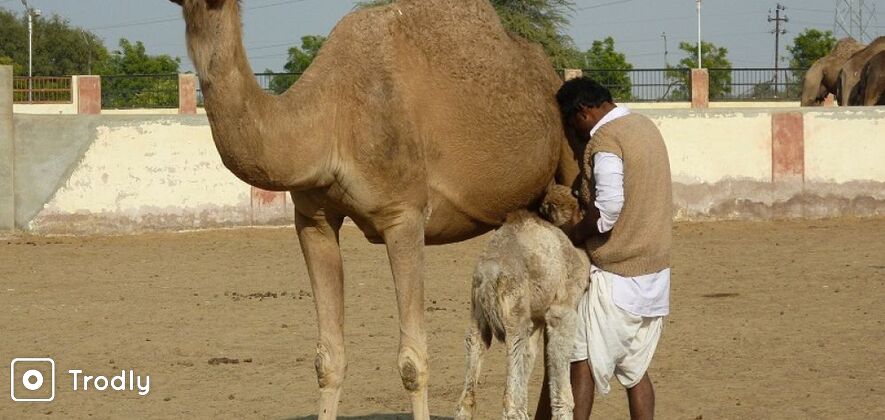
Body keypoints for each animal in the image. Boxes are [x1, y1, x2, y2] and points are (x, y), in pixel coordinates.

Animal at [456, 185, 588, 420]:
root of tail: (489, 274)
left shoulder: (536, 318)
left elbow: (530, 355)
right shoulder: (562, 310)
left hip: (478, 313)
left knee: (469, 391)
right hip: (514, 315)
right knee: (510, 400)